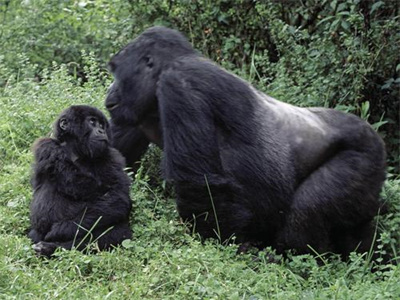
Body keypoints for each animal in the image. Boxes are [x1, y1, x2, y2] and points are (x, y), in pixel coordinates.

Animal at [27, 104, 133, 256]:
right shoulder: (45, 146)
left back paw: (51, 248)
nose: (102, 131)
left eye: (102, 125)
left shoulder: (112, 156)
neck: (76, 151)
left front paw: (62, 229)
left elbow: (118, 199)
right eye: (92, 122)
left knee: (117, 232)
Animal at [104, 26, 386, 255]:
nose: (109, 91)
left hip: (364, 154)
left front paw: (219, 245)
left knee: (306, 212)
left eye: (117, 73)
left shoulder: (180, 84)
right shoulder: (136, 110)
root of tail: (375, 135)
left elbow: (199, 182)